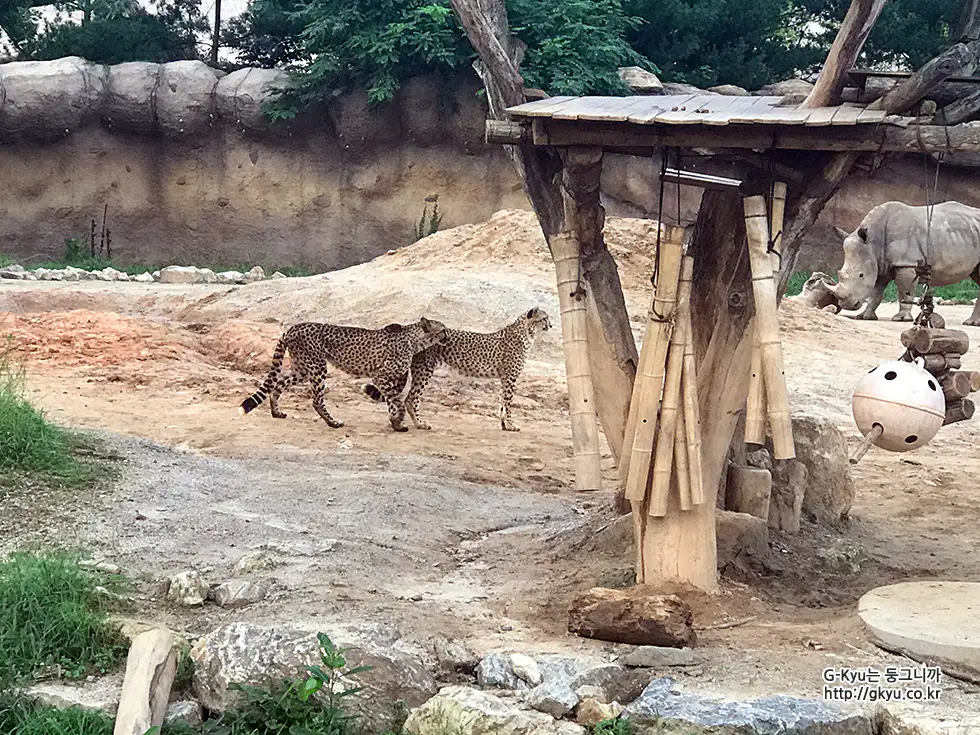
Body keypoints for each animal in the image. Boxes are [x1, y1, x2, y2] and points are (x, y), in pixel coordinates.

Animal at [241, 316, 448, 432]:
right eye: (443, 330)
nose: (447, 335)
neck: (416, 339)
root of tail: (293, 327)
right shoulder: (380, 376)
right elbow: (398, 402)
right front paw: (397, 421)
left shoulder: (387, 379)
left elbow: (393, 402)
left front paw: (396, 423)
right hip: (317, 367)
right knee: (316, 400)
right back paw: (333, 423)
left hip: (302, 369)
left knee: (278, 384)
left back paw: (276, 412)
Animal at [366, 306, 556, 432]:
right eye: (544, 318)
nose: (551, 325)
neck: (527, 332)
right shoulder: (510, 377)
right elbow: (508, 403)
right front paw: (511, 424)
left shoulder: (504, 378)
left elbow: (502, 401)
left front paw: (504, 425)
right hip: (425, 369)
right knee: (410, 399)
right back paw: (419, 424)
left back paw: (397, 422)